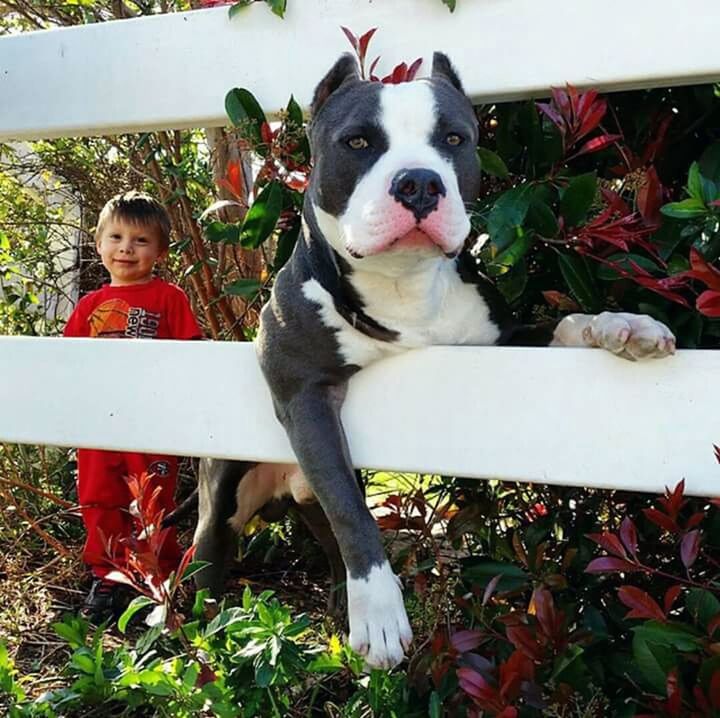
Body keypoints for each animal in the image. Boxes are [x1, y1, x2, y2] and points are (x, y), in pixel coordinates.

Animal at [201, 53, 676, 672]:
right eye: (358, 141)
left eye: (453, 139)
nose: (419, 181)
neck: (402, 286)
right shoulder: (304, 394)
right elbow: (352, 510)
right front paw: (379, 613)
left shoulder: (500, 344)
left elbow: (563, 324)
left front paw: (619, 324)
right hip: (219, 504)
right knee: (209, 565)